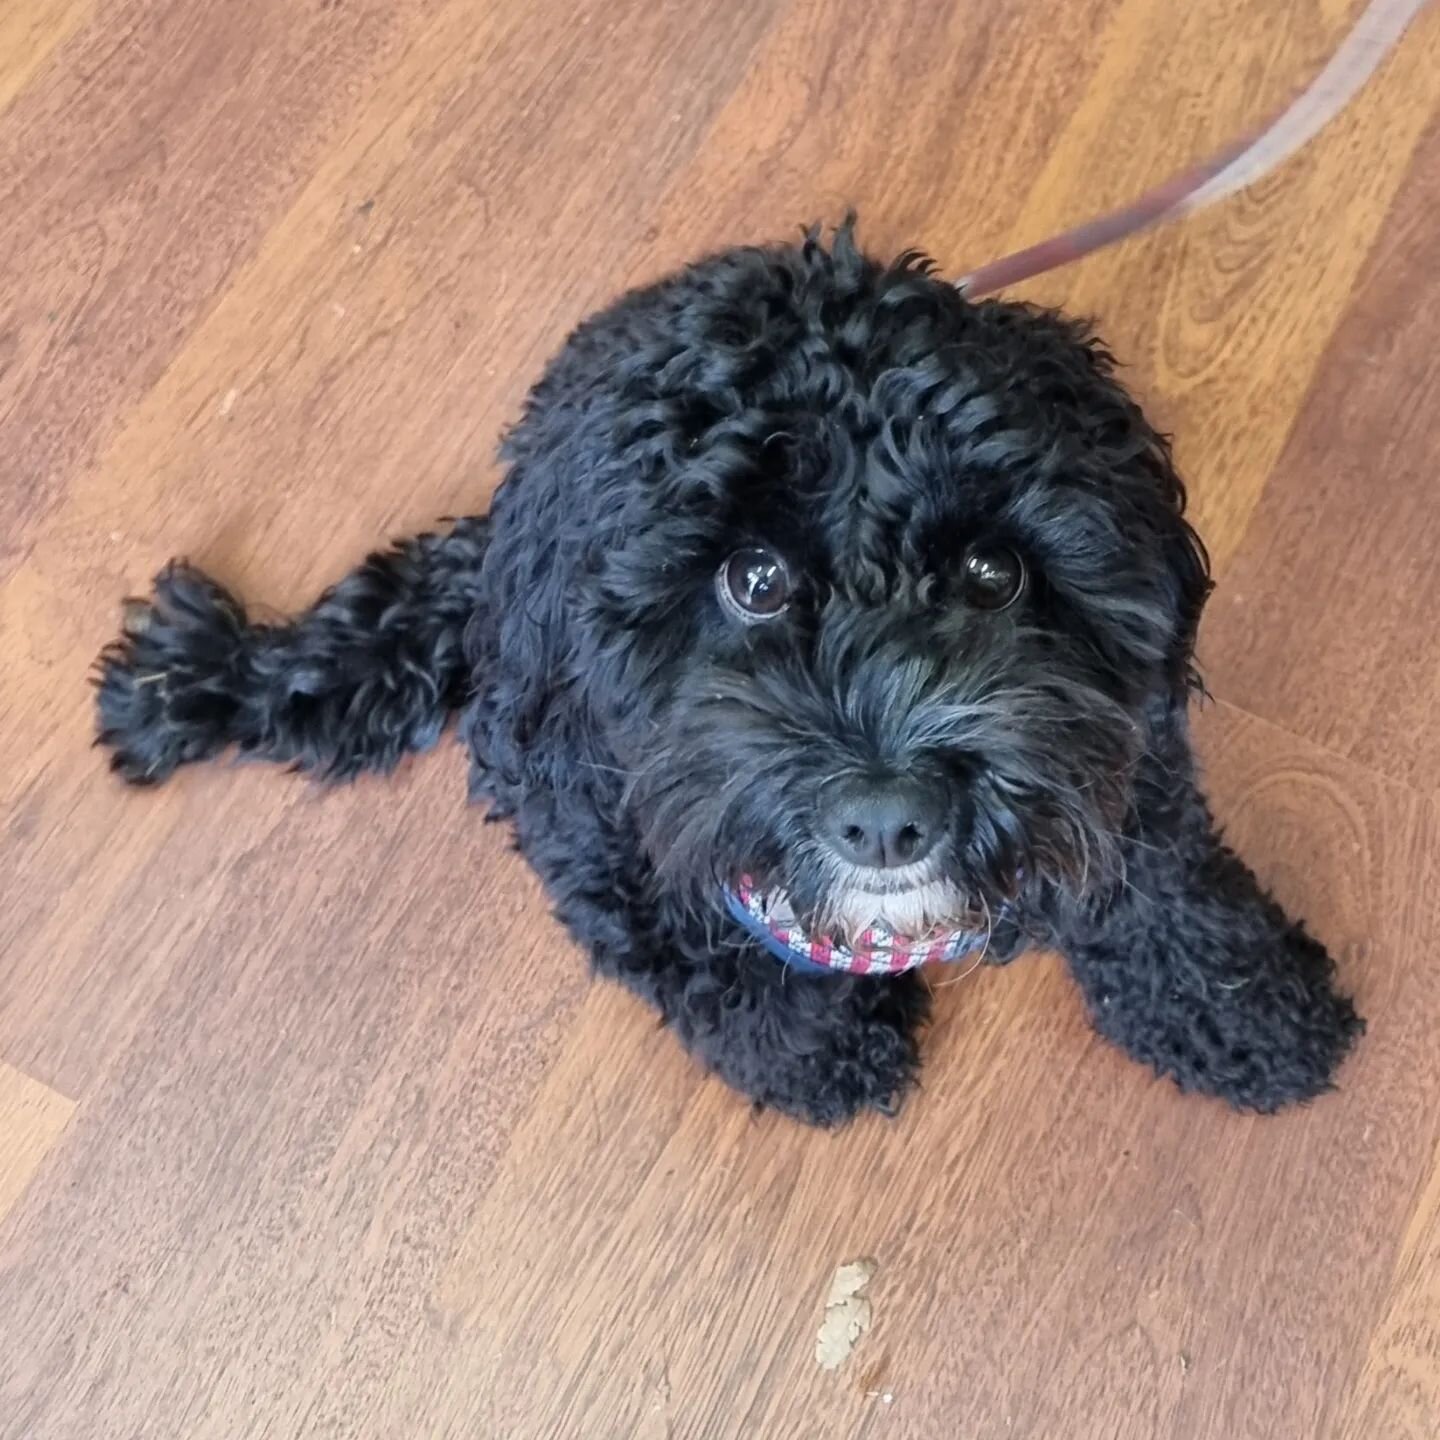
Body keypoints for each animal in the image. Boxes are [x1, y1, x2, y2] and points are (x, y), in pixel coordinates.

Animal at [98, 224, 1359, 1123]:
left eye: (995, 572)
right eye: (752, 580)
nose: (888, 819)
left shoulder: (1124, 774)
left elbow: (1166, 900)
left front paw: (1249, 1017)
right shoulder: (607, 846)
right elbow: (729, 981)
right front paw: (823, 1061)